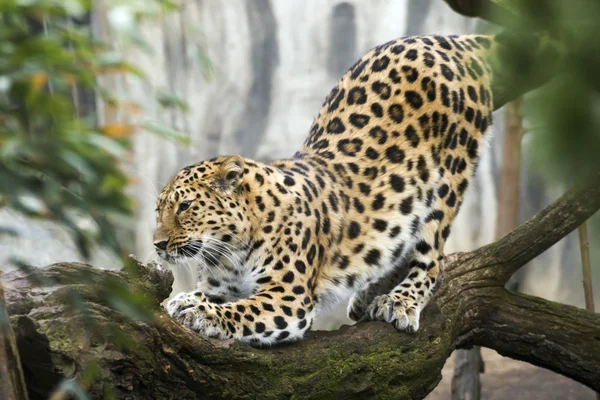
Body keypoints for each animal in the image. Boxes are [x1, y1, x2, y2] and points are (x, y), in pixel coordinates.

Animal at [155, 32, 564, 346]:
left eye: (185, 206)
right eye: (158, 210)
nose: (157, 244)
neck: (229, 248)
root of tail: (445, 40)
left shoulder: (287, 298)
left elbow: (243, 309)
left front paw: (199, 311)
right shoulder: (224, 282)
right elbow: (212, 293)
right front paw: (182, 300)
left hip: (449, 179)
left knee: (432, 258)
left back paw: (400, 302)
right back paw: (368, 295)